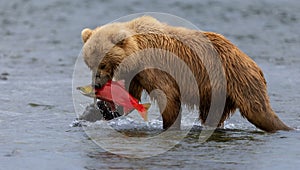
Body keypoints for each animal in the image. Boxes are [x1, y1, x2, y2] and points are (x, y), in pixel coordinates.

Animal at [81, 15, 292, 132]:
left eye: (103, 64)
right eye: (90, 64)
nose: (96, 84)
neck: (136, 54)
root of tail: (252, 62)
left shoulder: (156, 66)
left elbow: (169, 96)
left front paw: (170, 126)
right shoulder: (136, 74)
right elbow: (130, 97)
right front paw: (96, 110)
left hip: (237, 79)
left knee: (259, 111)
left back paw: (285, 127)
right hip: (217, 93)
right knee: (212, 115)